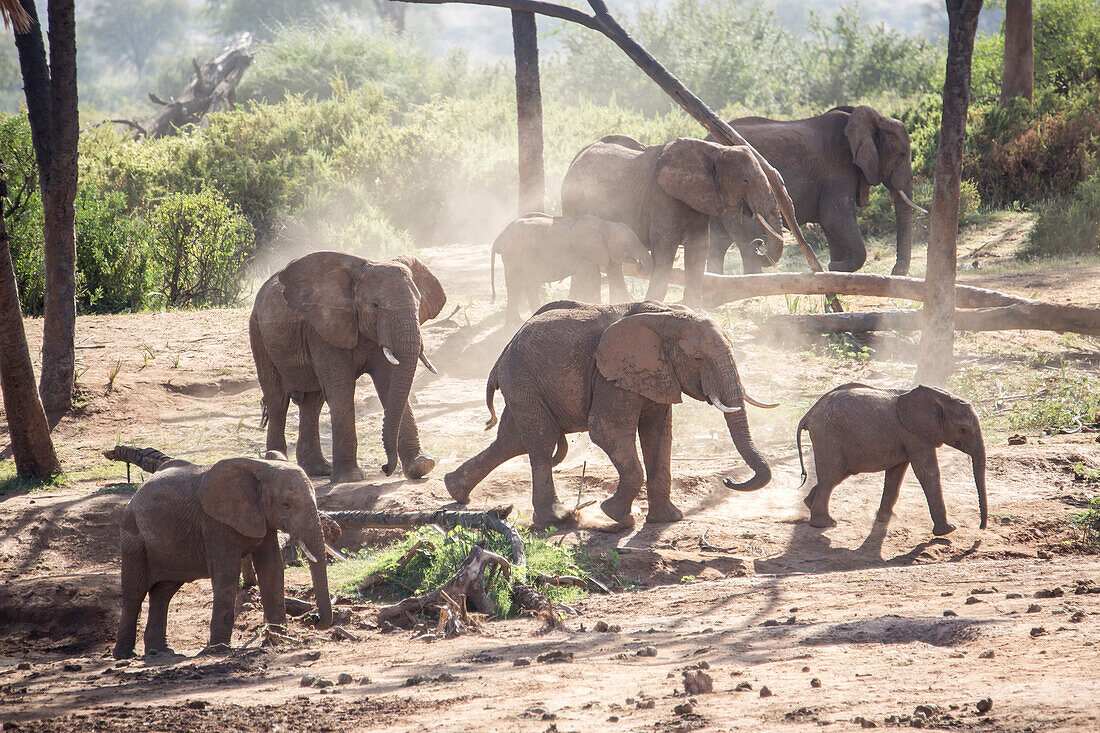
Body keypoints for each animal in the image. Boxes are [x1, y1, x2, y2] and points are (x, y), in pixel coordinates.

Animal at [251, 250, 446, 484]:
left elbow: (389, 382)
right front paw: (349, 478)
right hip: (258, 332)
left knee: (312, 403)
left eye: (418, 305)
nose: (385, 468)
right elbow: (341, 387)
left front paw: (421, 466)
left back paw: (319, 469)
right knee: (277, 399)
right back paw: (278, 460)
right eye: (375, 305)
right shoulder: (324, 327)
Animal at [492, 212, 651, 323]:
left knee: (527, 284)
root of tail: (499, 237)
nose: (639, 265)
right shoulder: (582, 254)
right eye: (625, 244)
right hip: (514, 255)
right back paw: (515, 323)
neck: (604, 225)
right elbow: (591, 277)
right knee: (515, 285)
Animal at [563, 134, 787, 305]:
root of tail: (577, 156)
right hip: (577, 202)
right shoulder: (662, 197)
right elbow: (665, 247)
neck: (714, 151)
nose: (758, 243)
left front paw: (694, 310)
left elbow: (698, 248)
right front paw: (651, 305)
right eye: (745, 180)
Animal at [708, 103, 924, 274]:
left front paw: (835, 270)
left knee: (718, 243)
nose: (896, 271)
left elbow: (831, 226)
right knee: (745, 238)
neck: (875, 119)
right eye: (902, 154)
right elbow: (834, 217)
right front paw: (835, 267)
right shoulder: (839, 167)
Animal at [796, 385, 994, 534]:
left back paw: (809, 504)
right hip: (829, 434)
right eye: (963, 430)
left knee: (839, 474)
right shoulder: (914, 434)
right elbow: (927, 473)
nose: (981, 527)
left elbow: (896, 474)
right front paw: (948, 530)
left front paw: (885, 519)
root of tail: (810, 413)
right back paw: (826, 523)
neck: (938, 396)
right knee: (831, 476)